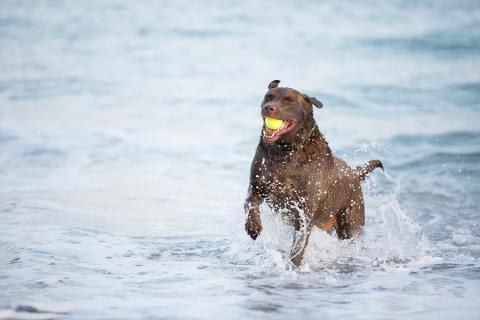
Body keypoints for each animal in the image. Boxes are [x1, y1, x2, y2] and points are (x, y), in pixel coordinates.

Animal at [244, 81, 382, 266]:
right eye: (268, 97)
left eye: (288, 100)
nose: (268, 108)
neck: (286, 152)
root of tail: (354, 173)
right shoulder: (258, 184)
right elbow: (250, 201)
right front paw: (253, 227)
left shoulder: (305, 210)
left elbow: (299, 242)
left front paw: (294, 263)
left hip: (351, 221)